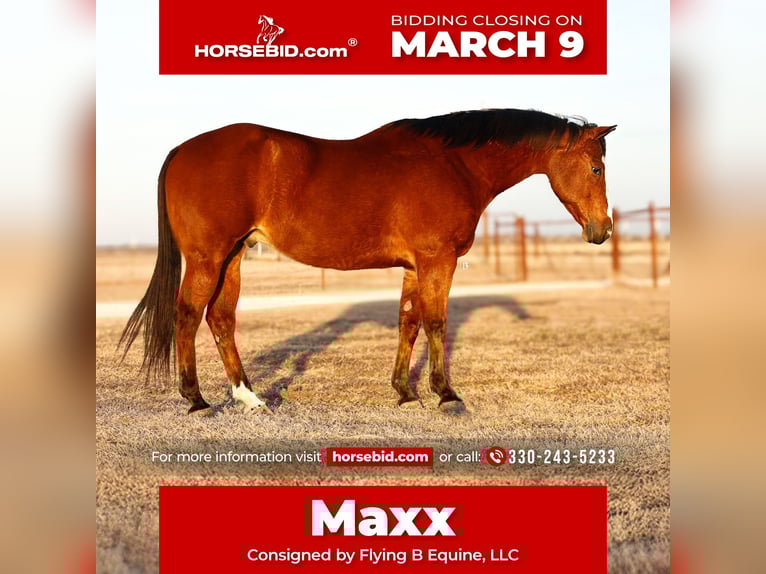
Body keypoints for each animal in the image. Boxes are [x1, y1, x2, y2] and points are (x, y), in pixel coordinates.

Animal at [118, 109, 616, 415]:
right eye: (596, 168)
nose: (603, 229)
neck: (452, 163)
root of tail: (183, 149)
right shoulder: (437, 261)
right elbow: (436, 322)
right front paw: (446, 394)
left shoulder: (414, 266)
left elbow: (408, 322)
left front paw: (404, 392)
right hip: (208, 258)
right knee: (187, 315)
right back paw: (196, 399)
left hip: (234, 257)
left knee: (220, 319)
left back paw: (249, 398)